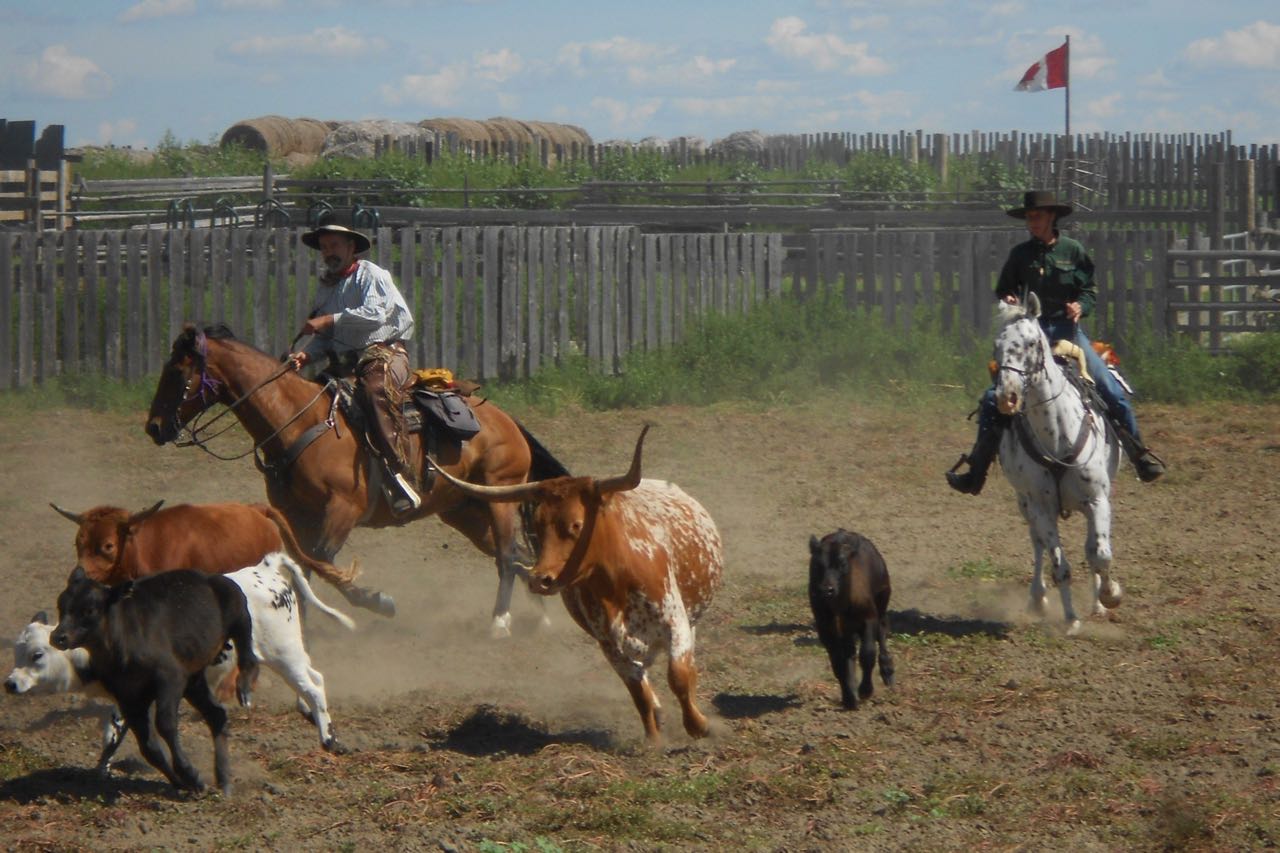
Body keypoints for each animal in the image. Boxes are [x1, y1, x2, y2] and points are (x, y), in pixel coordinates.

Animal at [51, 566, 259, 795]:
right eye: (61, 604)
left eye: (89, 610)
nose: (58, 637)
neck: (119, 646)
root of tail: (208, 578)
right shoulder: (128, 699)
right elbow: (149, 747)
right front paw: (182, 783)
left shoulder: (170, 678)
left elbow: (165, 724)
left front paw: (190, 774)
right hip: (193, 680)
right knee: (216, 714)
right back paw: (223, 779)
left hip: (238, 611)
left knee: (249, 655)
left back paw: (244, 687)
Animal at [144, 324, 569, 637]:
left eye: (177, 372)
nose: (153, 427)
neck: (300, 421)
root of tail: (507, 421)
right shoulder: (293, 514)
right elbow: (302, 564)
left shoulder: (342, 508)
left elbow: (321, 560)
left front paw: (378, 602)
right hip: (463, 510)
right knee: (516, 554)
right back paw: (540, 617)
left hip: (499, 497)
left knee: (507, 555)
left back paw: (500, 622)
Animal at [428, 426, 724, 743]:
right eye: (537, 524)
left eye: (577, 524)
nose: (540, 579)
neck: (617, 583)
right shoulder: (609, 644)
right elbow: (638, 692)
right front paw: (653, 739)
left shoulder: (675, 622)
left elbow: (679, 676)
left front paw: (699, 726)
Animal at [807, 529, 895, 709]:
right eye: (817, 565)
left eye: (842, 564)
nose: (827, 589)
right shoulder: (826, 629)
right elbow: (838, 663)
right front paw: (849, 697)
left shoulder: (869, 619)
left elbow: (867, 655)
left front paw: (865, 690)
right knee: (850, 653)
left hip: (882, 601)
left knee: (882, 631)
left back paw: (888, 671)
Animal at [991, 292, 1123, 636]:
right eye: (997, 346)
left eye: (1030, 343)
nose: (1006, 397)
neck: (1057, 435)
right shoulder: (1041, 507)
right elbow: (1059, 564)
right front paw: (1071, 619)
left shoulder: (1098, 499)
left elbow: (1100, 554)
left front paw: (1110, 595)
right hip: (1025, 504)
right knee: (1037, 543)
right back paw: (1038, 599)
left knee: (1091, 548)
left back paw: (1097, 604)